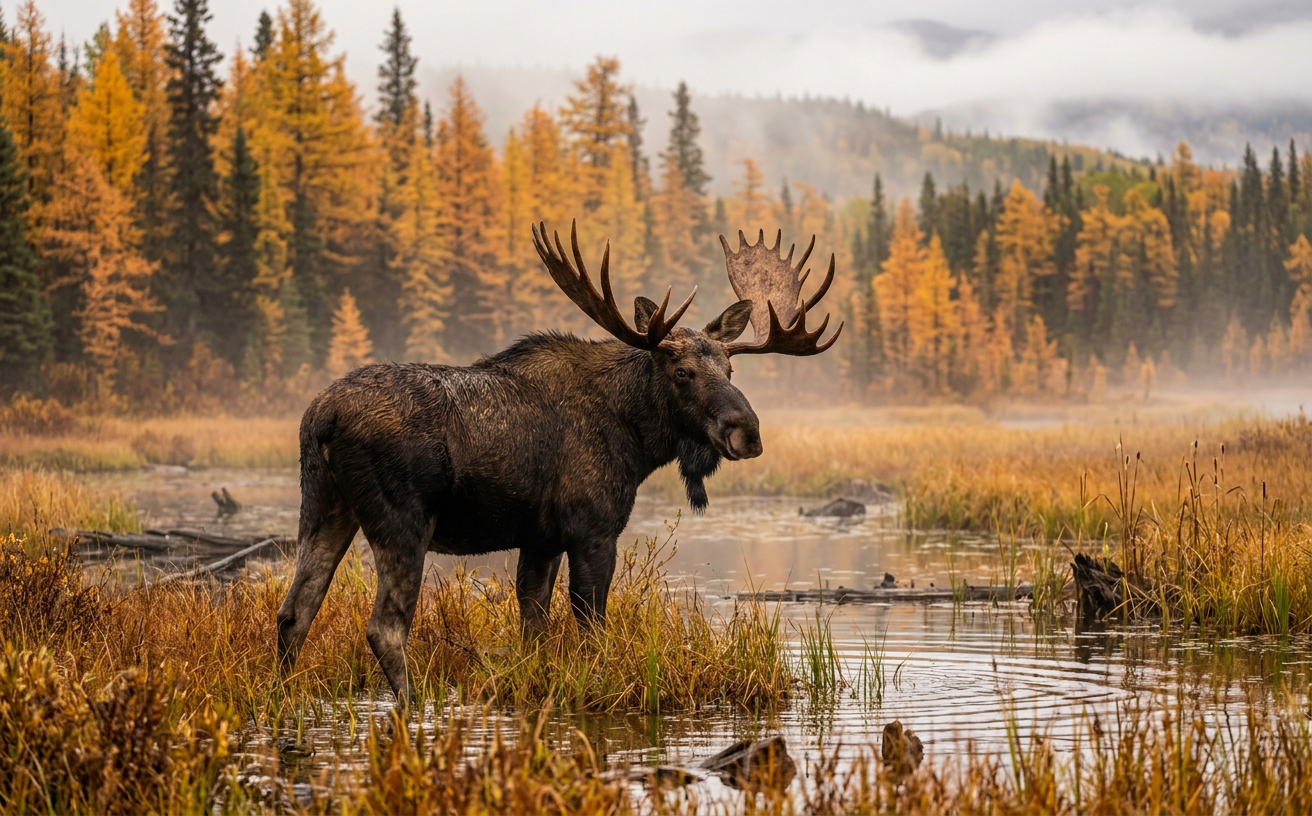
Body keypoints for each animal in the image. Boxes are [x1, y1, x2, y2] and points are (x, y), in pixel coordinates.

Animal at [275, 221, 842, 705]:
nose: (748, 432)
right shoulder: (592, 529)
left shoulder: (540, 537)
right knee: (385, 627)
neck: (637, 438)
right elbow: (590, 626)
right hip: (403, 520)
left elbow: (534, 627)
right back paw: (412, 708)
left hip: (324, 506)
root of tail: (321, 417)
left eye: (729, 367)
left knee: (293, 612)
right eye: (682, 371)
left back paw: (279, 701)